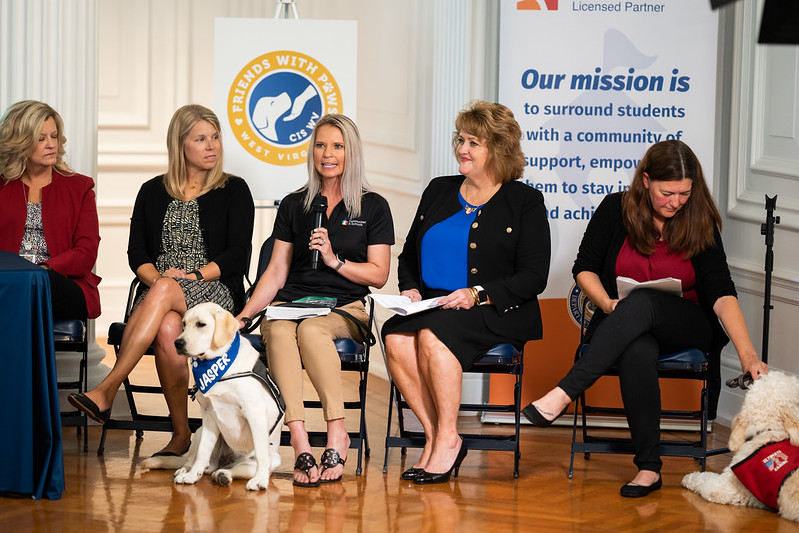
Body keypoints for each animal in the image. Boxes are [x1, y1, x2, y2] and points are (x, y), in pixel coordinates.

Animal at [143, 302, 284, 488]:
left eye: (201, 324)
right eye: (183, 324)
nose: (177, 343)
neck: (219, 364)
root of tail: (227, 461)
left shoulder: (255, 413)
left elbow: (261, 452)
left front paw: (260, 479)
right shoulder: (209, 414)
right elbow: (203, 452)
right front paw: (191, 476)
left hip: (271, 458)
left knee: (234, 469)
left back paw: (224, 475)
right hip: (201, 431)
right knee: (194, 460)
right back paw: (186, 471)